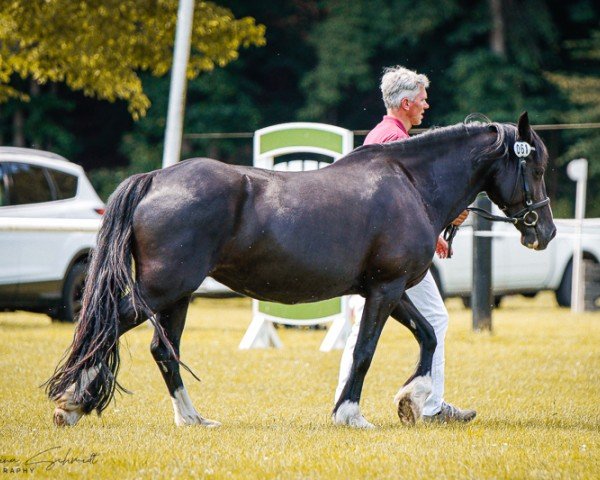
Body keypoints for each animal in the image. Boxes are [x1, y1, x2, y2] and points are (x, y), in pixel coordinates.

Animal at [48, 112, 556, 428]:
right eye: (536, 168)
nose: (545, 232)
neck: (410, 183)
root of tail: (154, 179)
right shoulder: (386, 289)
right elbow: (364, 351)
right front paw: (351, 414)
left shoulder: (387, 290)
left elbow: (428, 335)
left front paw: (409, 401)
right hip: (160, 290)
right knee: (105, 328)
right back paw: (71, 404)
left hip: (177, 296)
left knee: (162, 350)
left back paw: (191, 418)